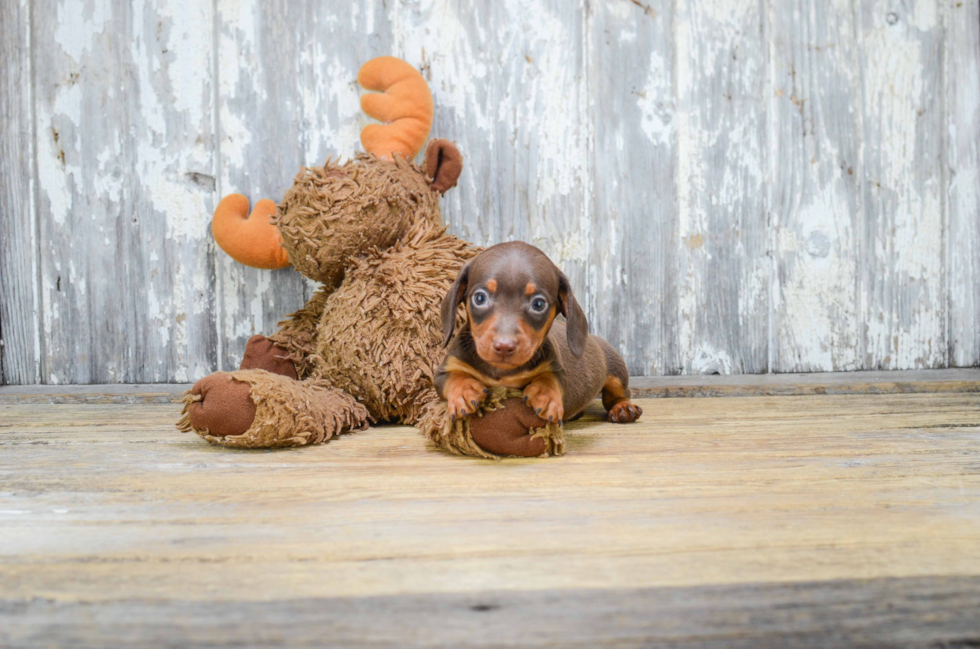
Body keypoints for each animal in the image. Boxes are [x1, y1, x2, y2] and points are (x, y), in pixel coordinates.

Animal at [436, 242, 644, 426]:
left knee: (618, 395)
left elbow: (550, 379)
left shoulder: (556, 369)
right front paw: (465, 391)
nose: (504, 347)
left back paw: (623, 408)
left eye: (538, 304)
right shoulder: (444, 370)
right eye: (480, 298)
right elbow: (455, 377)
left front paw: (545, 396)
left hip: (616, 372)